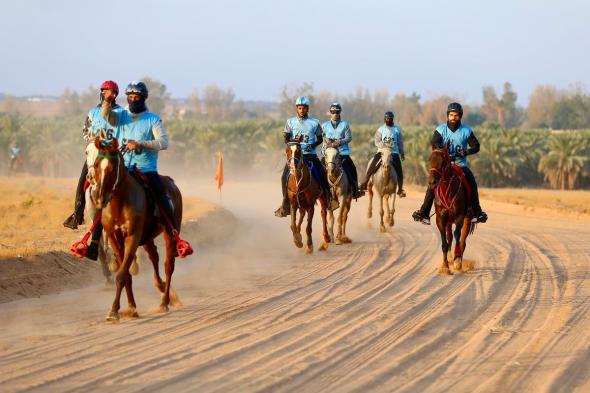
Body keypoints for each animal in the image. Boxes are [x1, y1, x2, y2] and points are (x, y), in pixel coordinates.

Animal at [89, 136, 183, 320]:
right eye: (96, 165)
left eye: (112, 168)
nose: (98, 198)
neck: (120, 203)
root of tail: (172, 184)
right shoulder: (114, 237)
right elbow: (125, 274)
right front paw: (131, 308)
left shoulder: (132, 237)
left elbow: (121, 274)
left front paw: (114, 311)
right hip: (147, 237)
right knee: (154, 256)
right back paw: (161, 287)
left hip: (169, 233)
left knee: (169, 265)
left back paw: (165, 302)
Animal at [430, 145, 476, 276]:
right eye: (430, 159)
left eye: (443, 162)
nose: (432, 182)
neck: (448, 190)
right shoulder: (440, 219)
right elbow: (445, 243)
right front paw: (445, 266)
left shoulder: (459, 217)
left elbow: (457, 236)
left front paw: (457, 262)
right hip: (449, 222)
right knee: (449, 237)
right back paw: (450, 259)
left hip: (467, 219)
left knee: (462, 241)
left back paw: (457, 261)